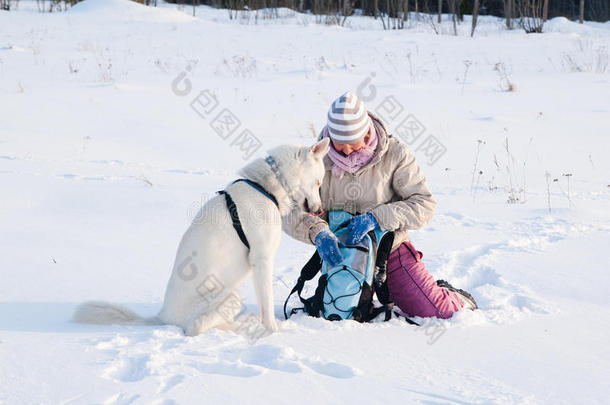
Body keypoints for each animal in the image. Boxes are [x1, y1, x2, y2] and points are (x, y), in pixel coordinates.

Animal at [74, 138, 330, 334]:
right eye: (318, 182)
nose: (319, 211)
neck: (266, 187)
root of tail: (162, 317)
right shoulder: (262, 259)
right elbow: (266, 304)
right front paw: (273, 331)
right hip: (231, 296)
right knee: (195, 328)